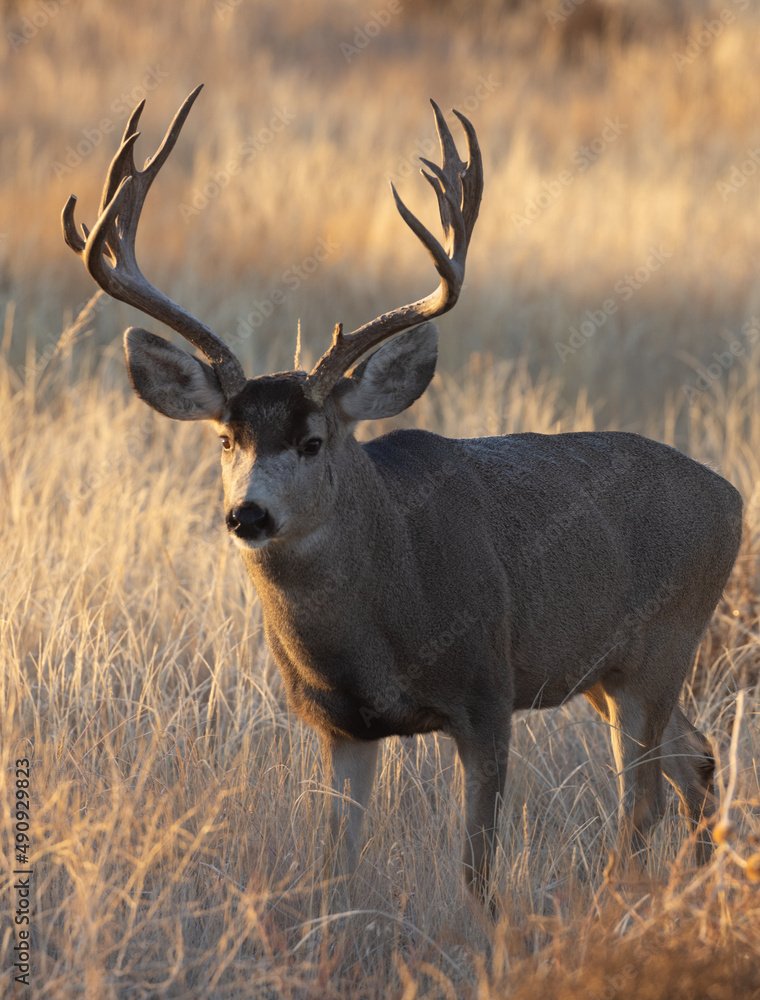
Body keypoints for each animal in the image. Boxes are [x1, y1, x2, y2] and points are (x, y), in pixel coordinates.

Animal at [62, 86, 742, 902]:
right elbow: (335, 867)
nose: (248, 513)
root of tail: (731, 497)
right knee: (696, 761)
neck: (380, 621)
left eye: (314, 440)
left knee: (641, 799)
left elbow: (475, 868)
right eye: (226, 439)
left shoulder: (486, 692)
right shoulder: (340, 725)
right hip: (607, 672)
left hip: (663, 646)